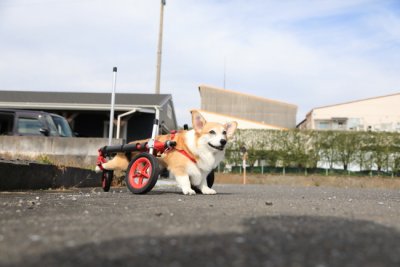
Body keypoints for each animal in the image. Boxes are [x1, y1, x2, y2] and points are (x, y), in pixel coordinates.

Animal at [97, 110, 238, 196]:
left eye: (224, 133)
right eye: (212, 132)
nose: (223, 141)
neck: (199, 149)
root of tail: (134, 142)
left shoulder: (202, 170)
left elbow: (203, 181)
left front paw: (206, 190)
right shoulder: (180, 168)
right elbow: (186, 180)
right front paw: (188, 190)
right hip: (122, 162)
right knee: (107, 165)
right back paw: (99, 166)